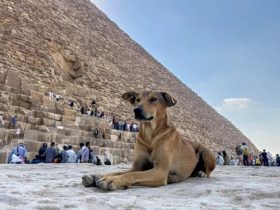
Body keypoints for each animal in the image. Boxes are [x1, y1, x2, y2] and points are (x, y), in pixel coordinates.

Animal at [82, 91, 215, 191]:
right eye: (137, 99)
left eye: (154, 99)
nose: (136, 110)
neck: (150, 134)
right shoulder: (137, 166)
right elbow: (120, 171)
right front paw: (98, 176)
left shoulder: (160, 171)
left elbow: (132, 174)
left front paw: (112, 180)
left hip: (206, 152)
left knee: (209, 170)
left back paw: (202, 173)